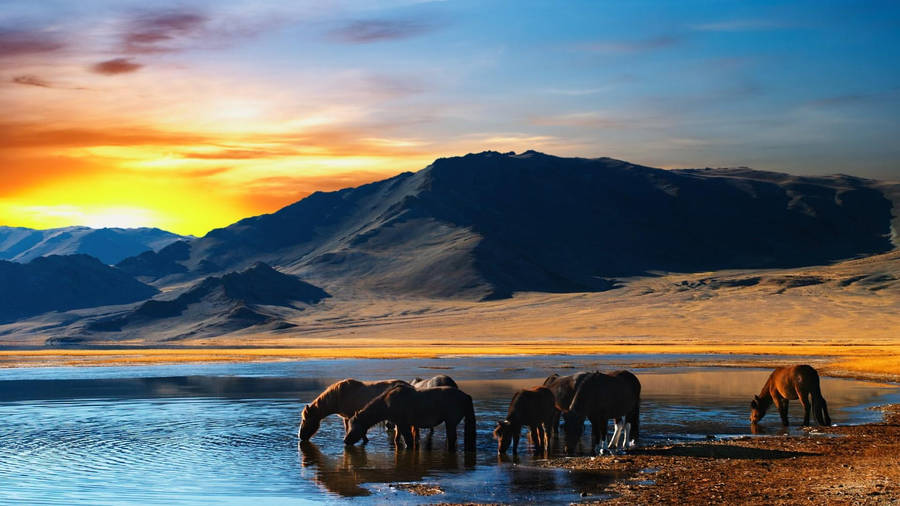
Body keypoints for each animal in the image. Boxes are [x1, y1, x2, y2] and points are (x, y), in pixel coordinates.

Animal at [344, 385, 477, 452]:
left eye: (355, 427)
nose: (346, 440)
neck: (387, 404)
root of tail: (466, 396)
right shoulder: (398, 424)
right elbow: (397, 439)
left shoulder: (404, 425)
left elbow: (408, 441)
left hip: (450, 422)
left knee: (452, 439)